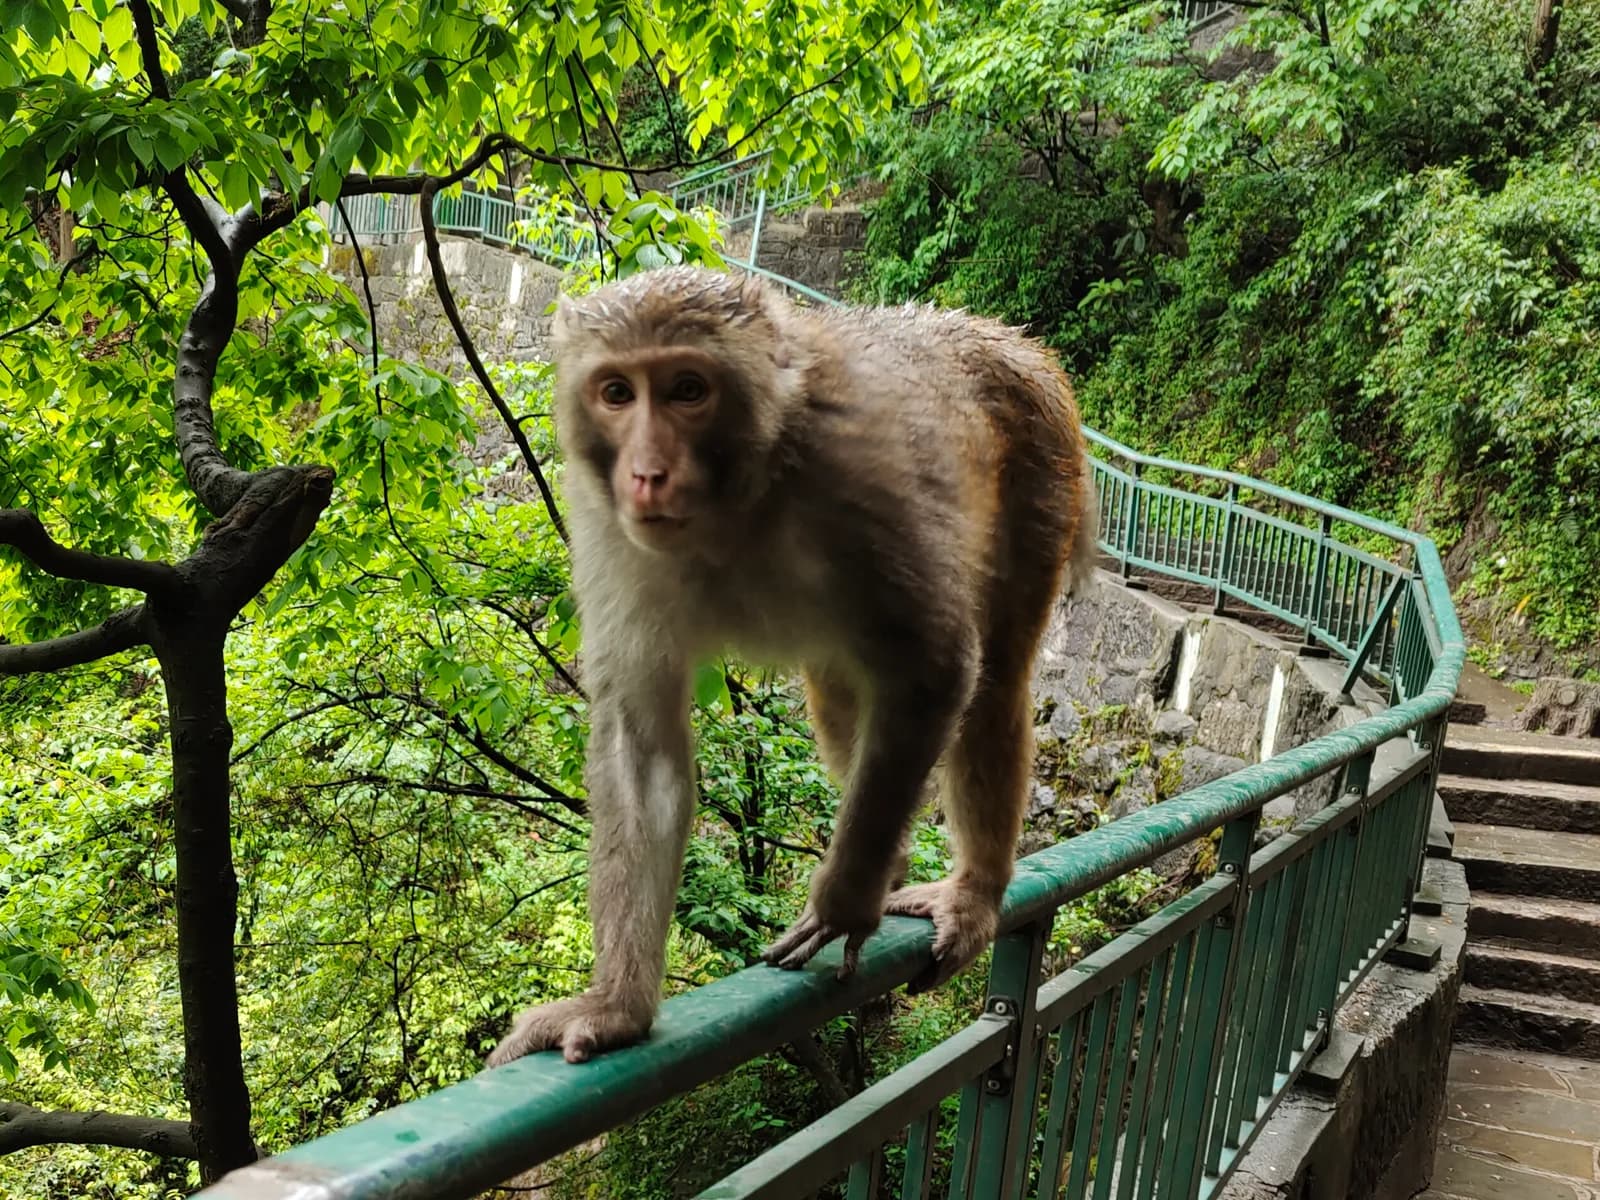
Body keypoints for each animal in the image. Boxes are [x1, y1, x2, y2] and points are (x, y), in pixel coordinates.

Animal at [487, 266, 1097, 1067]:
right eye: (616, 392)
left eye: (688, 389)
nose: (646, 474)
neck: (742, 493)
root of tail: (1003, 335)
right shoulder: (606, 522)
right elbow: (641, 747)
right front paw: (617, 1006)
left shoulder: (860, 478)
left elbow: (935, 667)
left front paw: (843, 905)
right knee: (840, 695)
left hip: (1041, 469)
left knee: (991, 682)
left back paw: (973, 890)